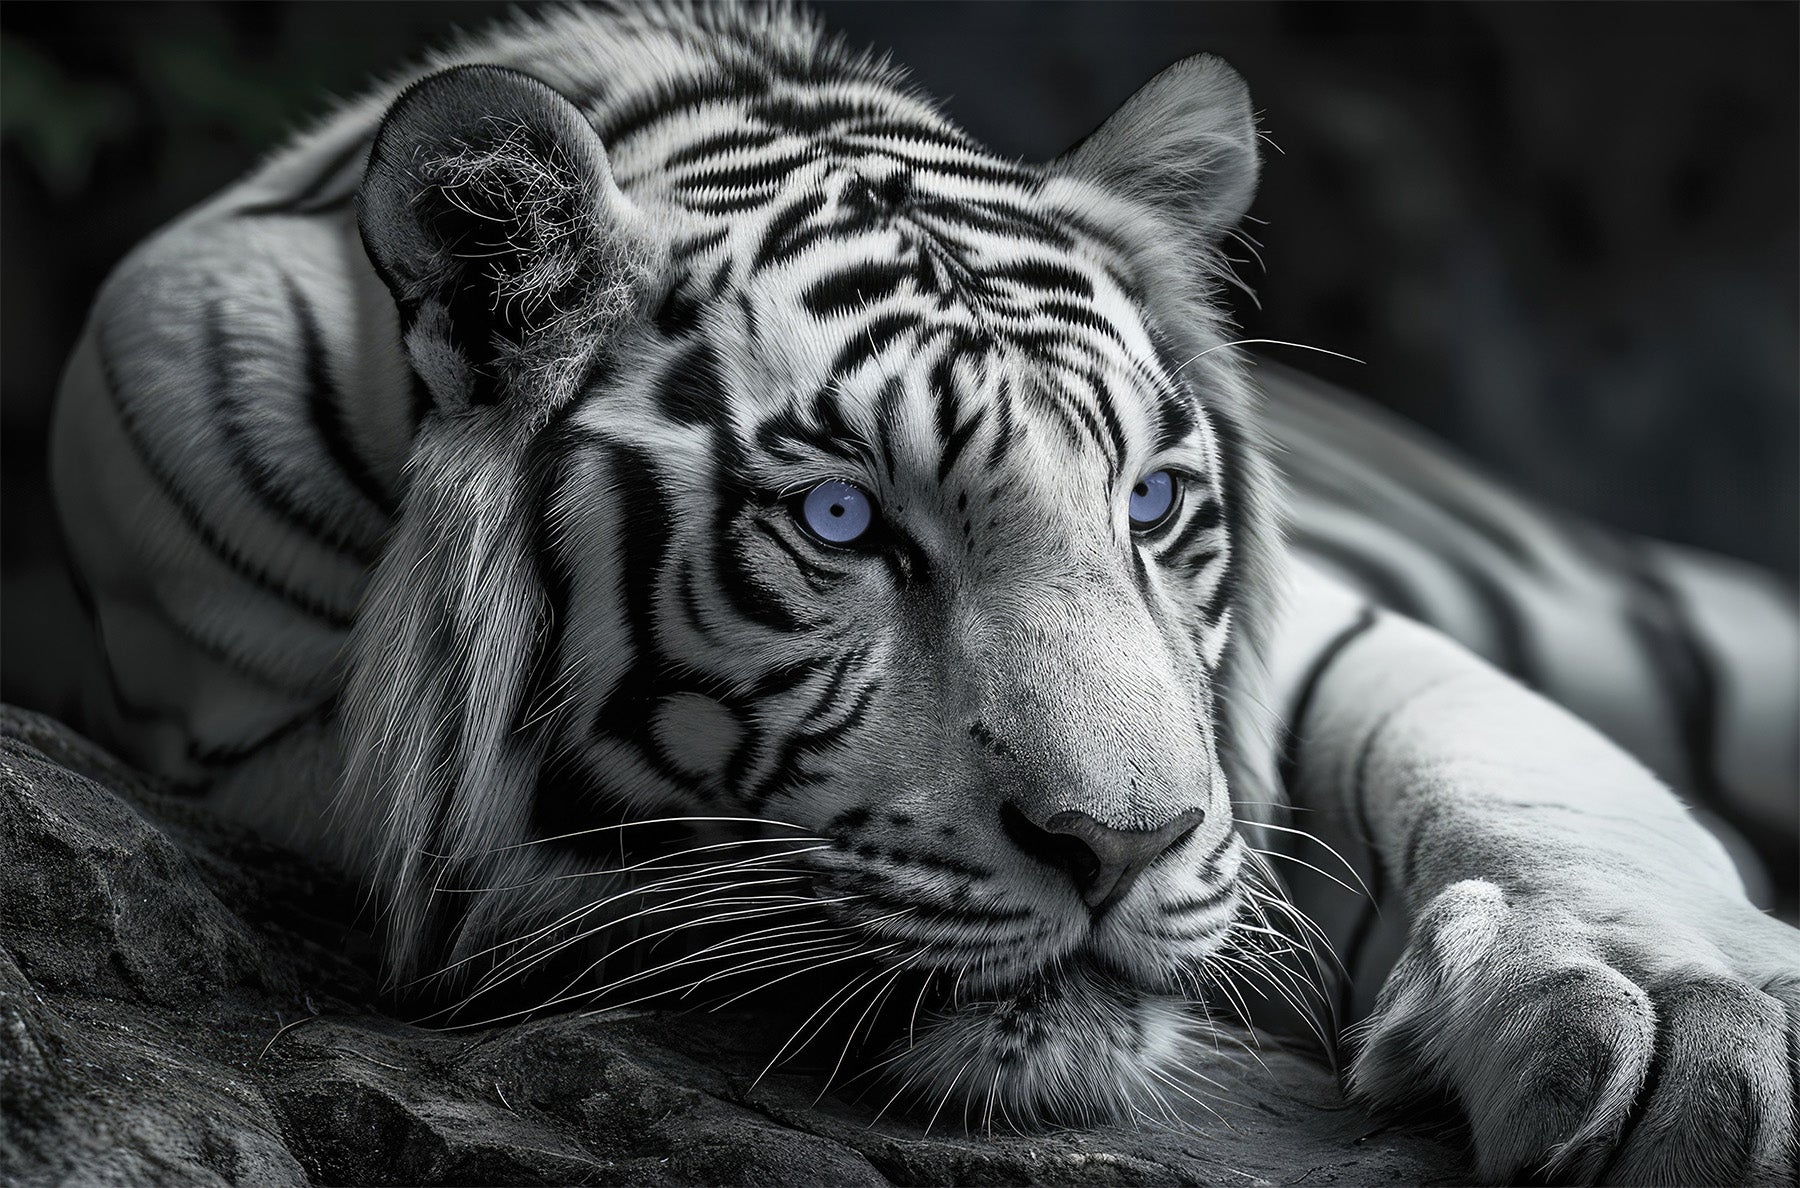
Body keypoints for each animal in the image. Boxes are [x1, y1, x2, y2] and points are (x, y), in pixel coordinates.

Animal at [45, 2, 1799, 1182]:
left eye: (1150, 503)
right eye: (841, 519)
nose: (1121, 848)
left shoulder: (1332, 645)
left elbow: (1517, 773)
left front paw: (1690, 1027)